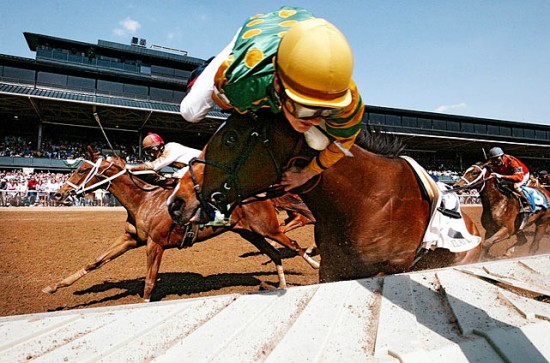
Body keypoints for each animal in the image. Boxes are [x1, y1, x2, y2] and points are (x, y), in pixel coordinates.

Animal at [45, 146, 322, 302]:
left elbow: (149, 282)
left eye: (82, 170)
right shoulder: (130, 239)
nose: (58, 194)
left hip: (267, 228)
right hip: (250, 233)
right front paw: (55, 286)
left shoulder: (155, 244)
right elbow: (95, 262)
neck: (144, 199)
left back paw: (316, 265)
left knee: (293, 244)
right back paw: (282, 285)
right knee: (275, 253)